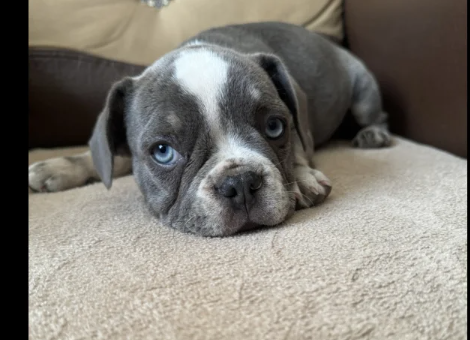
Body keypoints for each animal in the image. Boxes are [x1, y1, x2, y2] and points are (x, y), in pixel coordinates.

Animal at [27, 21, 392, 236]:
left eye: (275, 127)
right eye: (162, 151)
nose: (240, 182)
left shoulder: (298, 123)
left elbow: (301, 147)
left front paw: (301, 177)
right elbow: (111, 158)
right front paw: (59, 167)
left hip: (362, 92)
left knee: (376, 114)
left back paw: (373, 134)